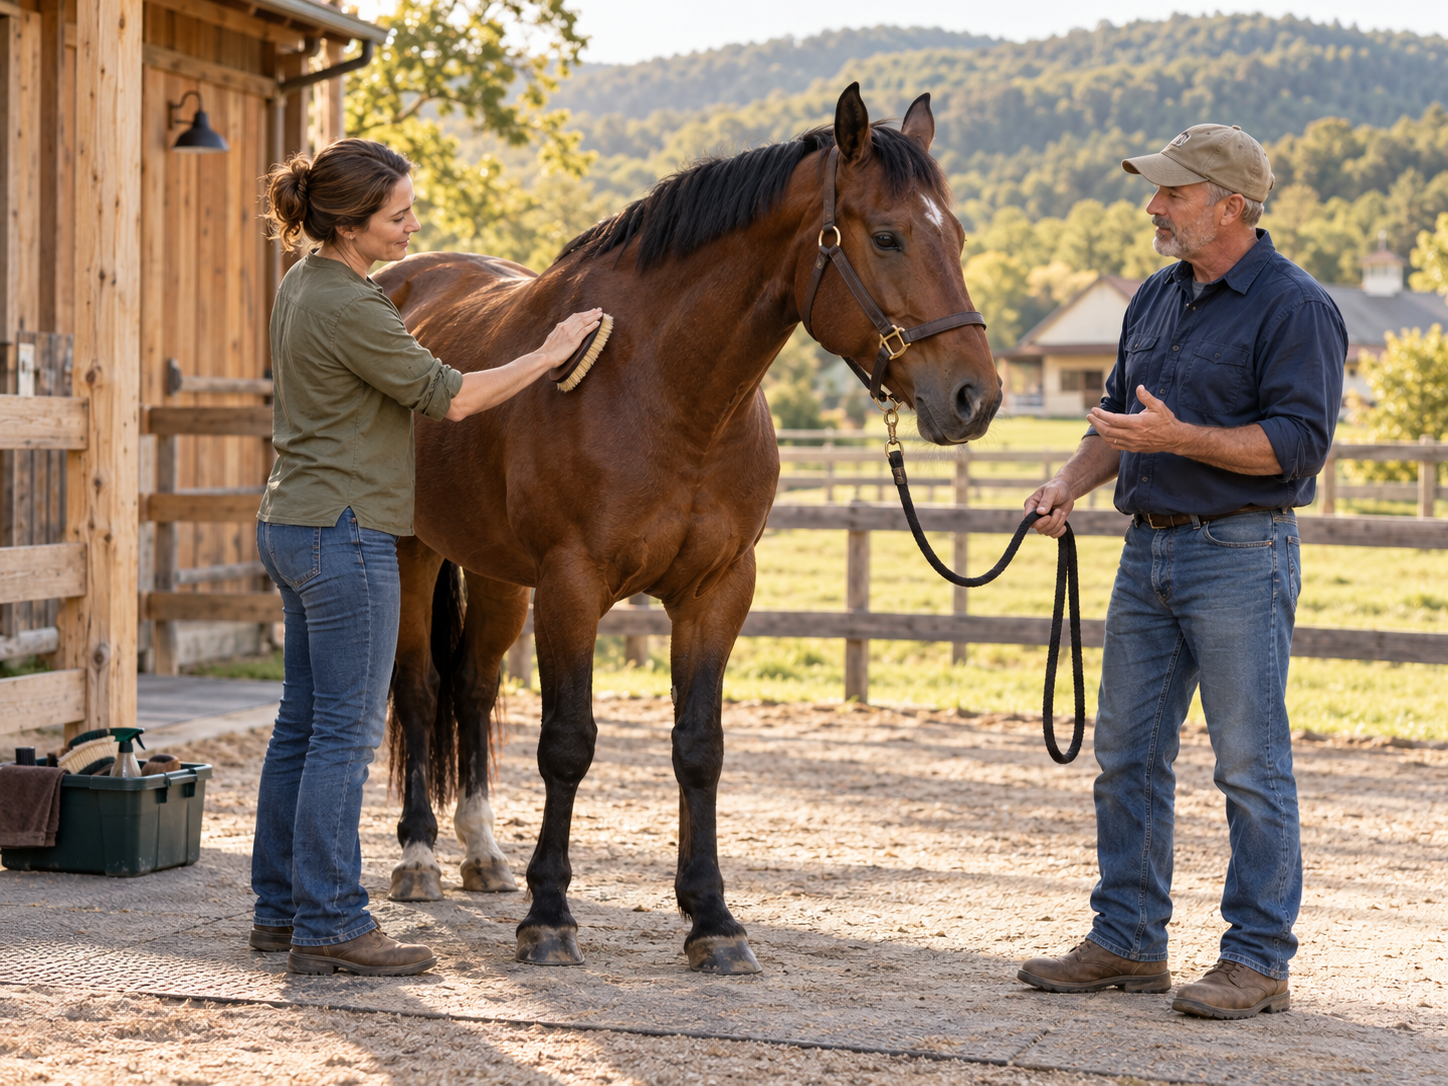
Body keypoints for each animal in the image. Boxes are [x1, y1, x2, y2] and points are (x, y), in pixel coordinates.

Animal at [376, 84, 1000, 975]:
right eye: (887, 236)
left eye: (957, 235)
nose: (975, 398)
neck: (664, 386)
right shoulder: (572, 586)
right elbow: (568, 741)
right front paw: (549, 916)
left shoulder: (717, 591)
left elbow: (699, 747)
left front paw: (712, 919)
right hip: (412, 554)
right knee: (423, 688)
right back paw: (420, 858)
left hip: (494, 574)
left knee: (472, 686)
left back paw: (483, 853)